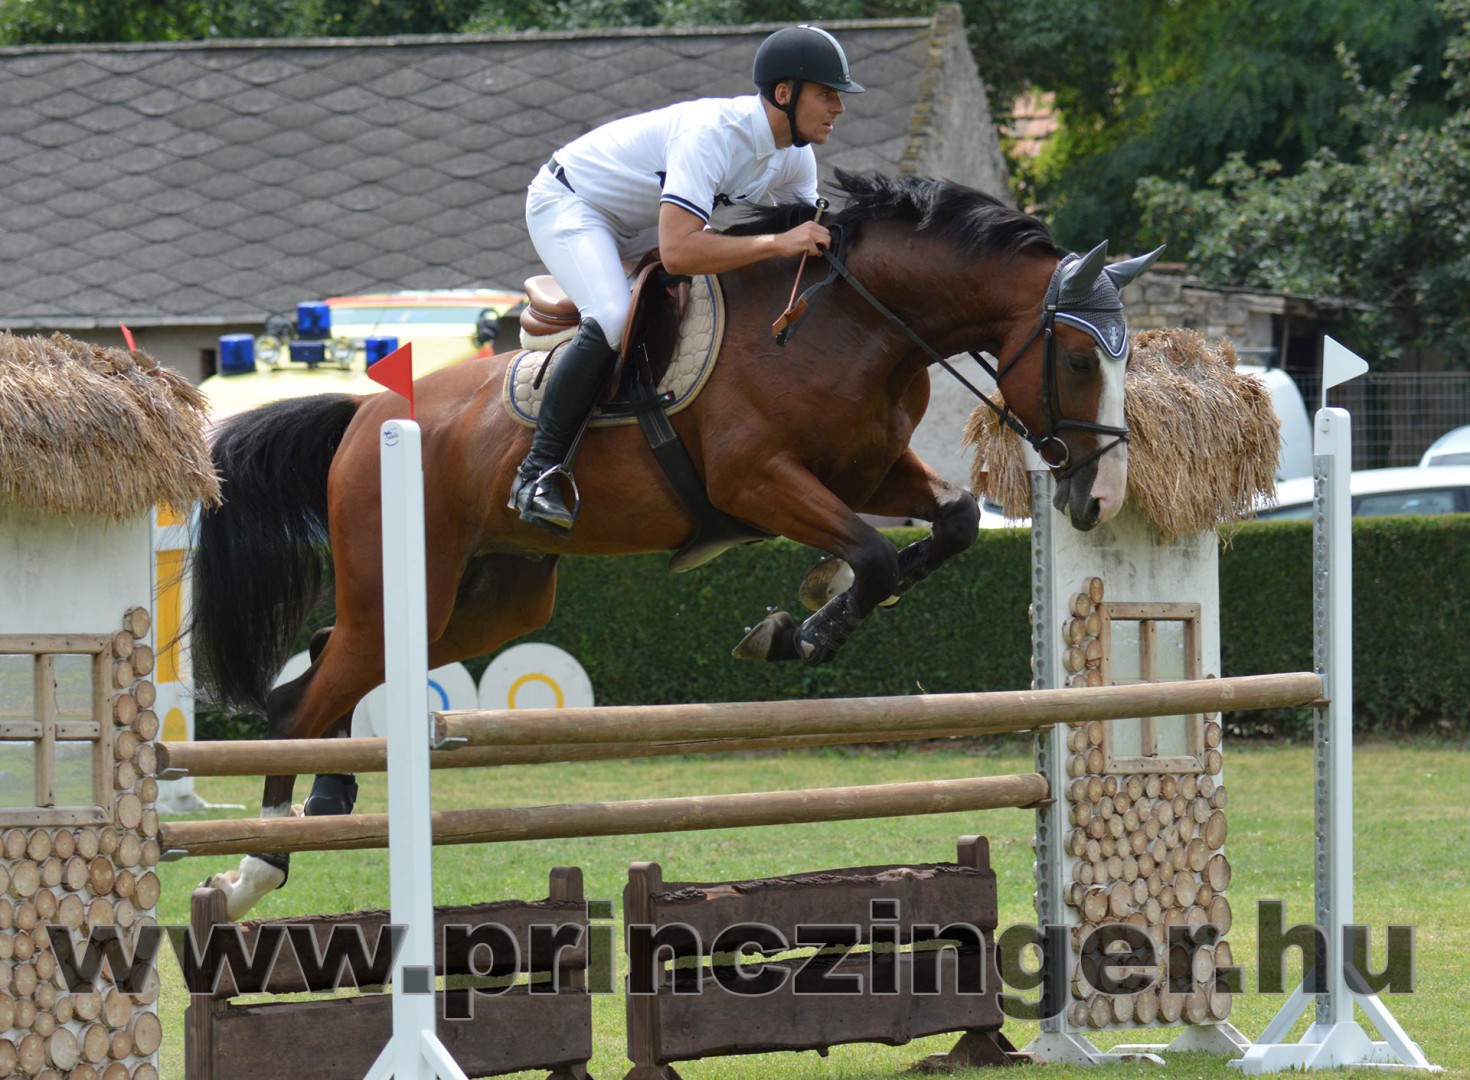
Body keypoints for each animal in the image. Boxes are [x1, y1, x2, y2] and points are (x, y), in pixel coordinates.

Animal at [192, 171, 1160, 917]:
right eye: (1081, 360)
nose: (1101, 498)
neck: (854, 323)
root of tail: (364, 416)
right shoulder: (758, 482)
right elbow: (877, 555)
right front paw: (805, 630)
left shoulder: (870, 474)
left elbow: (950, 523)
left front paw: (808, 610)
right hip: (408, 578)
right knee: (299, 703)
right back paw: (252, 870)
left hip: (491, 598)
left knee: (326, 662)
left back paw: (332, 797)